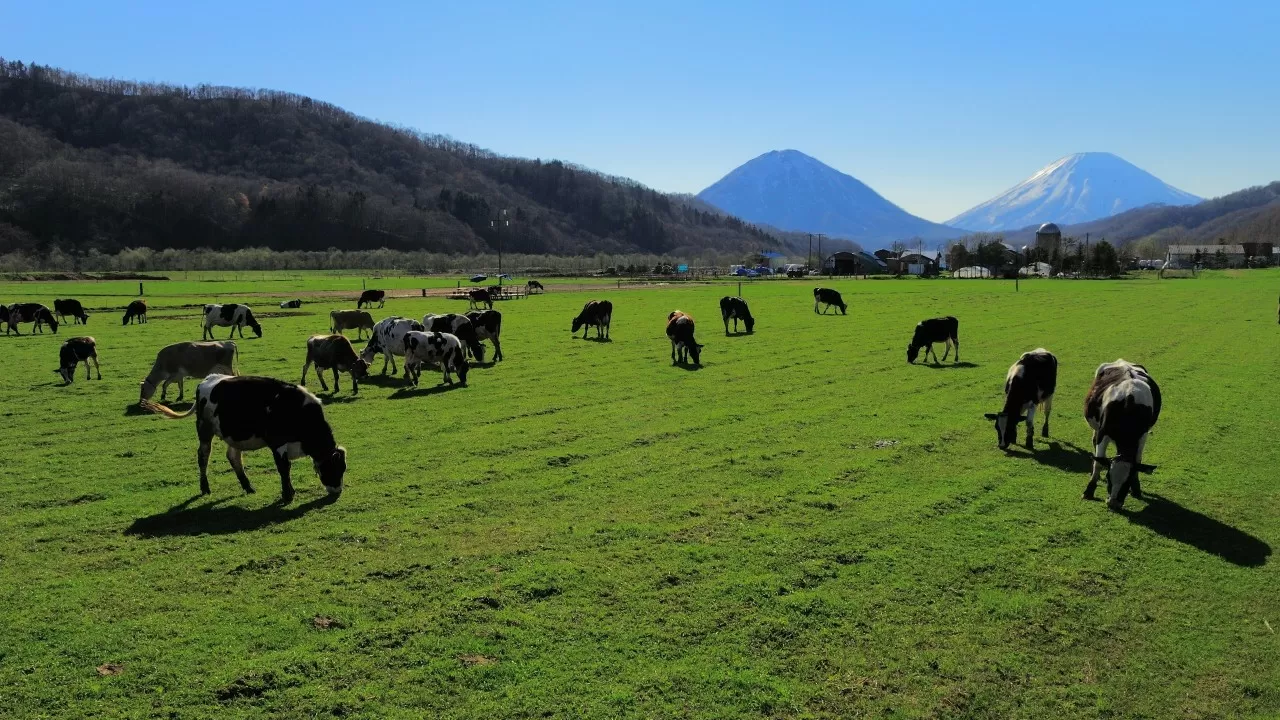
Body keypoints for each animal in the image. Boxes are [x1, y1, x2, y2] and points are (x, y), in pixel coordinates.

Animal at [141, 371, 345, 502]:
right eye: (335, 467)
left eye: (343, 469)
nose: (337, 491)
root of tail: (208, 379)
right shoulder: (277, 444)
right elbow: (284, 468)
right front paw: (288, 495)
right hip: (204, 429)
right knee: (203, 456)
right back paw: (205, 487)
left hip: (233, 436)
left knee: (233, 457)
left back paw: (248, 486)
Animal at [1080, 356, 1162, 507]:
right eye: (1109, 477)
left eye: (1127, 482)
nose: (1113, 502)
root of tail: (1122, 361)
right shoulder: (1103, 432)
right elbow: (1099, 462)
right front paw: (1089, 491)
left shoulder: (1143, 435)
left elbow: (1138, 460)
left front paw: (1136, 489)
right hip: (1096, 427)